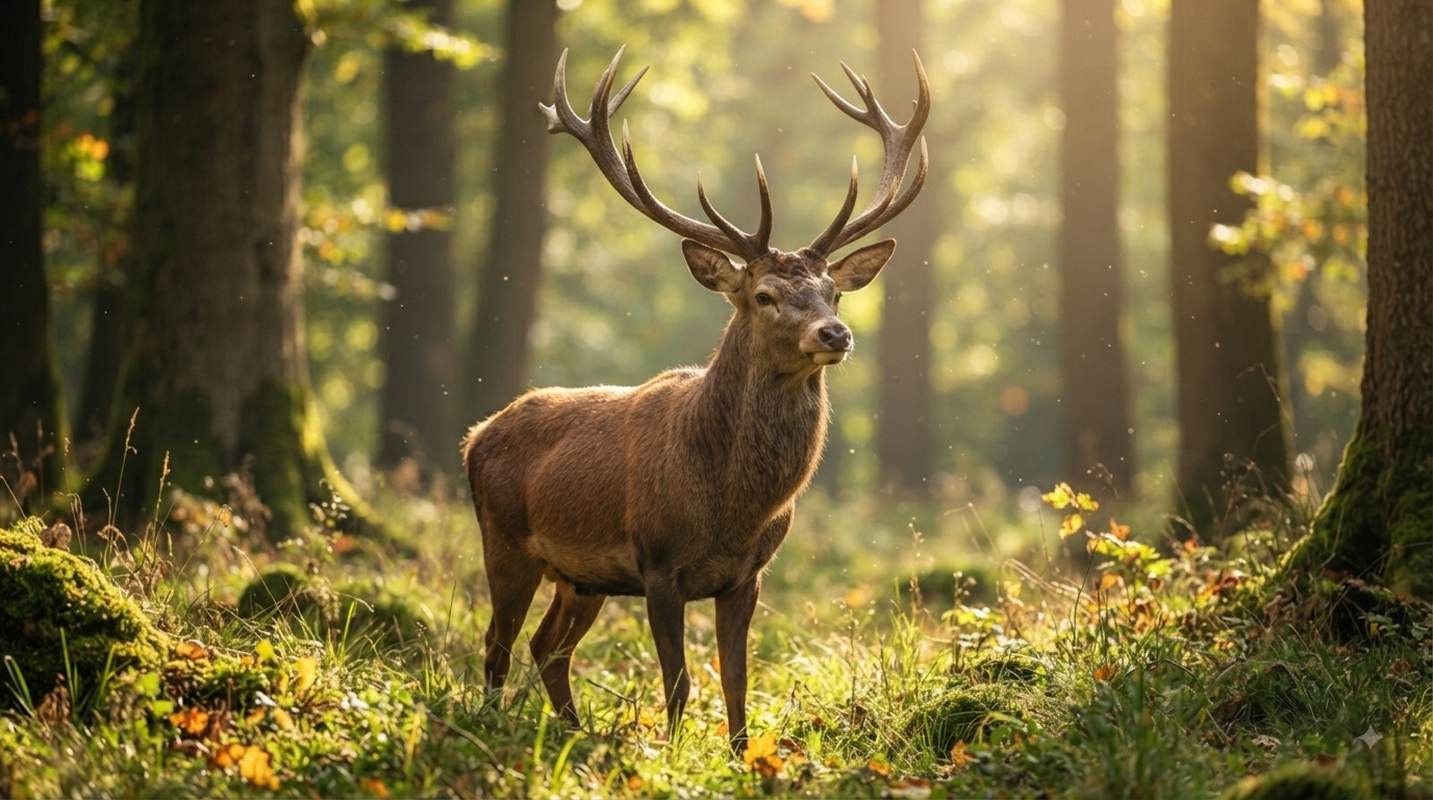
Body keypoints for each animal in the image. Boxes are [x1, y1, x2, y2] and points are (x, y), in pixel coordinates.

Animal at [463, 46, 929, 752]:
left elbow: (737, 682)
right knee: (496, 643)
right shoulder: (658, 565)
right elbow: (679, 682)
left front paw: (739, 756)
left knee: (548, 648)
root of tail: (473, 436)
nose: (836, 333)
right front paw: (674, 756)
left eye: (834, 292)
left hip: (582, 578)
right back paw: (492, 726)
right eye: (764, 295)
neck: (731, 506)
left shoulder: (749, 575)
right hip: (506, 542)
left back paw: (575, 734)